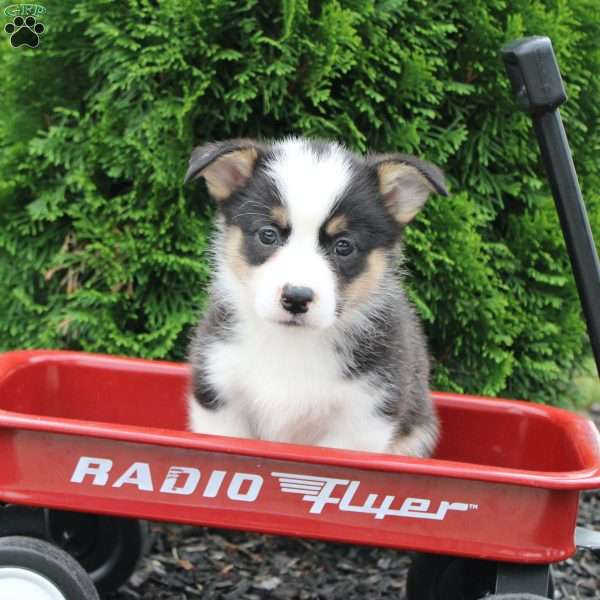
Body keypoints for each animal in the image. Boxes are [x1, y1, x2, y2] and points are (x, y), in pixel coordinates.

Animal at [185, 138, 448, 458]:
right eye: (268, 234)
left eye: (344, 246)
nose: (297, 298)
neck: (292, 344)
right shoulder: (220, 396)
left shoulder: (361, 419)